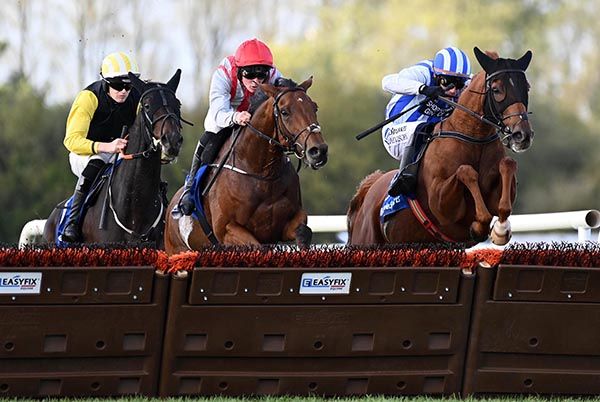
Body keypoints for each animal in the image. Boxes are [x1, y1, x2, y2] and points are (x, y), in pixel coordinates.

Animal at [164, 77, 328, 254]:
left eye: (314, 107)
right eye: (285, 112)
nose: (318, 151)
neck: (263, 175)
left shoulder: (289, 222)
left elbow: (304, 232)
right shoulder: (228, 230)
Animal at [346, 48, 536, 247]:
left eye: (526, 87)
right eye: (497, 89)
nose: (522, 134)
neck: (472, 137)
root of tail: (368, 190)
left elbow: (508, 165)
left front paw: (500, 230)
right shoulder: (440, 202)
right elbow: (465, 171)